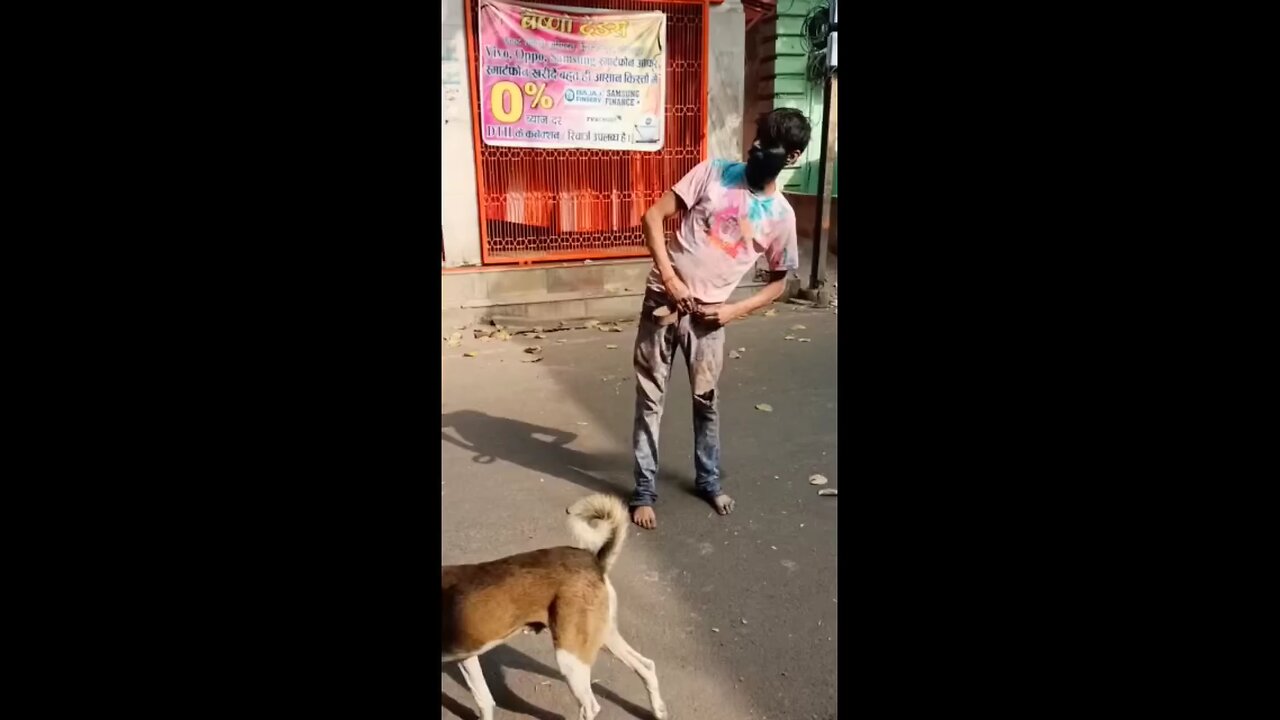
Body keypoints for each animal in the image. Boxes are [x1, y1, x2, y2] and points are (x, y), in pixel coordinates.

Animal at [442, 491, 670, 717]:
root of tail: (594, 560)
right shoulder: (466, 657)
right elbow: (485, 700)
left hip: (570, 655)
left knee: (590, 706)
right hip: (602, 637)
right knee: (646, 666)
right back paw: (659, 710)